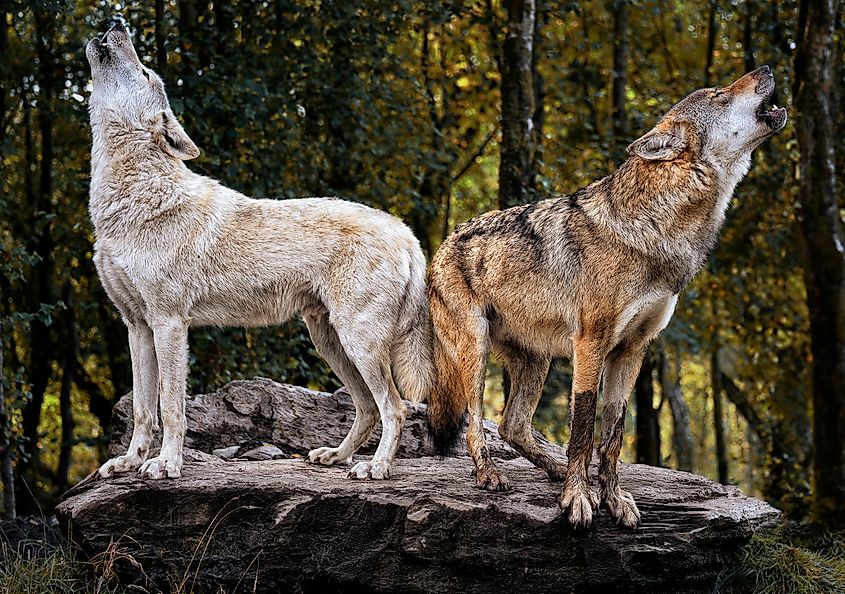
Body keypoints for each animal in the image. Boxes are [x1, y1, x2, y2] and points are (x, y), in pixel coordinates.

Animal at [85, 22, 433, 481]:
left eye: (144, 72)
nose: (117, 23)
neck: (133, 199)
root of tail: (407, 233)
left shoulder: (170, 323)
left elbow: (171, 408)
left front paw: (166, 464)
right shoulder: (137, 326)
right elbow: (144, 409)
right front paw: (129, 461)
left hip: (358, 343)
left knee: (394, 408)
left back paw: (374, 468)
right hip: (330, 342)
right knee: (367, 408)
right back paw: (336, 457)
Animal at [426, 66, 786, 528]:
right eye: (719, 95)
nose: (767, 69)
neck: (658, 229)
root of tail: (442, 244)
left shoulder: (633, 349)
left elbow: (613, 430)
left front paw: (612, 498)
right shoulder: (591, 343)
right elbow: (583, 425)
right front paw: (578, 499)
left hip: (537, 361)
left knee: (512, 425)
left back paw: (553, 468)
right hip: (476, 350)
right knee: (475, 420)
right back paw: (490, 474)